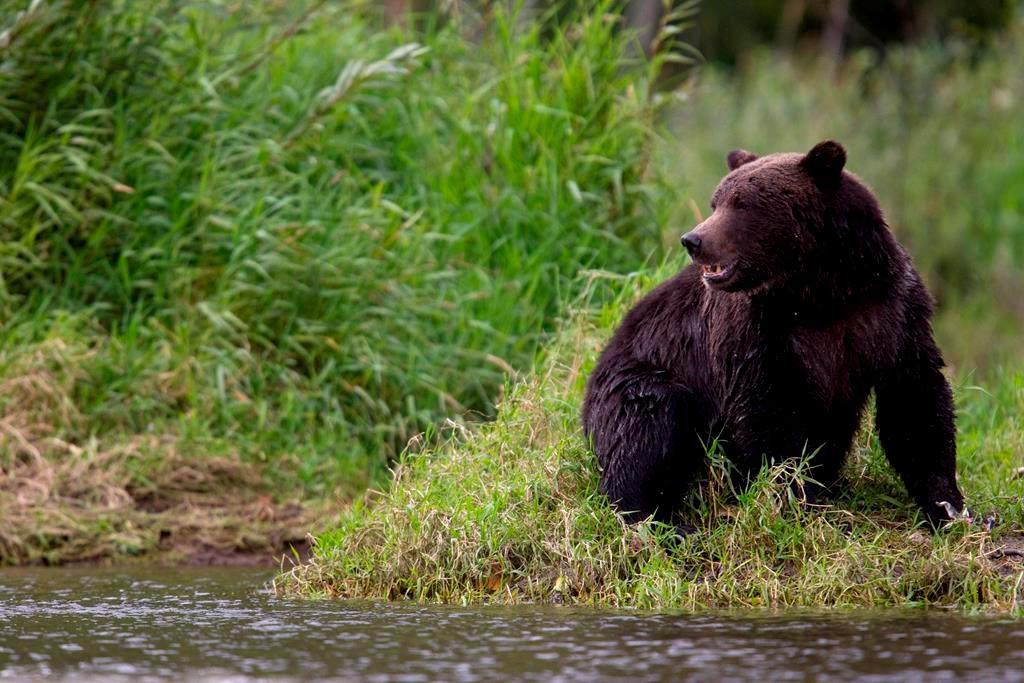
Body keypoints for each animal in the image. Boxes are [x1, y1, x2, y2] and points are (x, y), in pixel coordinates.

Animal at [582, 140, 964, 528]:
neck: (820, 292)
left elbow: (914, 399)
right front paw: (794, 497)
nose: (693, 240)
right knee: (647, 424)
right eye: (716, 201)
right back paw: (657, 519)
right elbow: (768, 413)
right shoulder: (757, 331)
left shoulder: (888, 310)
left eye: (742, 204)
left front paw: (948, 505)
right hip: (638, 376)